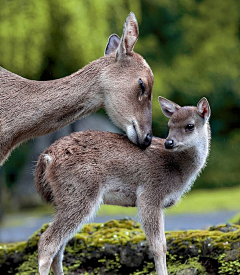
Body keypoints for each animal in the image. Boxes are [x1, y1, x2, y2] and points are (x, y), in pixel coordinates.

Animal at [35, 97, 210, 275]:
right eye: (170, 125)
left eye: (190, 126)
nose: (169, 143)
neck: (177, 169)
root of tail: (47, 157)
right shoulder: (150, 194)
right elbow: (159, 246)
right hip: (79, 193)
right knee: (47, 242)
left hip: (66, 198)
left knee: (59, 248)